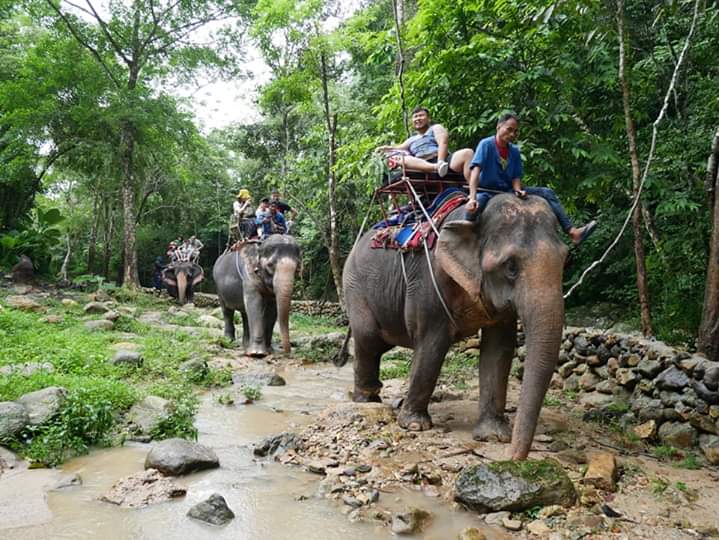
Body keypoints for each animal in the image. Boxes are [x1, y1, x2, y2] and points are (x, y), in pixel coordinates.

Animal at [342, 194, 568, 460]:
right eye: (510, 266)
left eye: (565, 261)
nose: (513, 458)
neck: (472, 220)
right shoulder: (427, 281)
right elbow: (432, 344)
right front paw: (414, 425)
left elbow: (499, 350)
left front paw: (492, 436)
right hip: (355, 288)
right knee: (368, 339)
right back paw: (366, 400)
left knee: (379, 344)